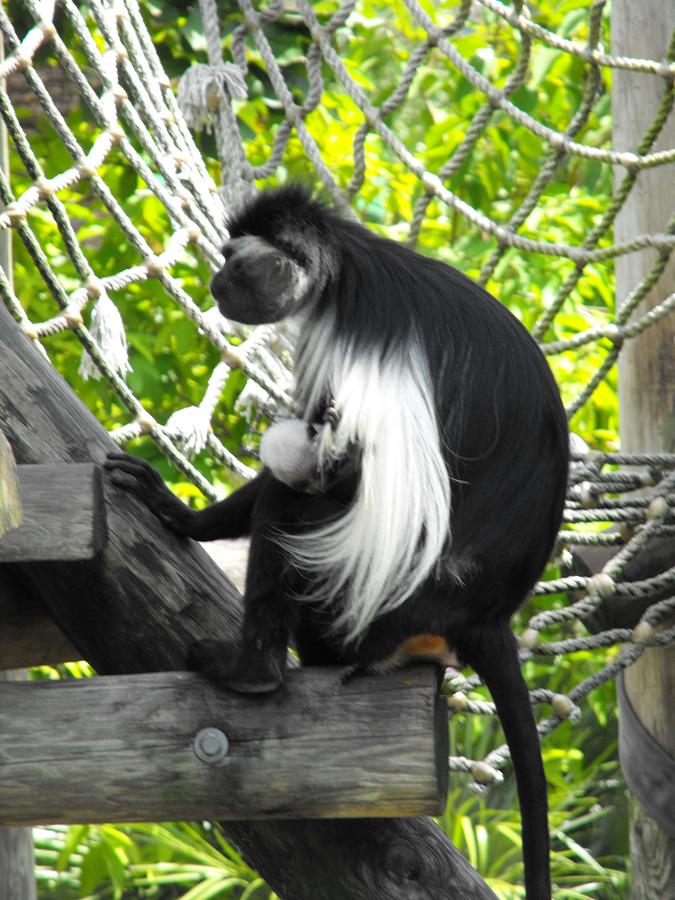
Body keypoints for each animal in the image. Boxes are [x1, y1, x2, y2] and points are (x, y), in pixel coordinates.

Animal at [106, 185, 568, 899]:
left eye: (235, 262)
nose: (214, 283)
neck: (342, 268)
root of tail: (486, 615)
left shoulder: (351, 342)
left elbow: (338, 466)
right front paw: (179, 514)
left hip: (364, 602)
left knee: (295, 508)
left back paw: (254, 673)